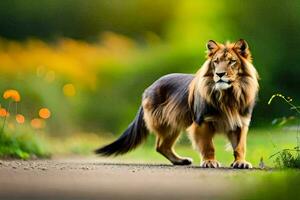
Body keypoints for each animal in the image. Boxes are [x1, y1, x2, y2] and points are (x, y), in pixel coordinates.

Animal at [95, 39, 258, 169]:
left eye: (232, 61)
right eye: (216, 62)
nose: (219, 74)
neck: (228, 95)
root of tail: (149, 88)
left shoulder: (240, 123)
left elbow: (240, 146)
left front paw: (241, 163)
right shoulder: (202, 122)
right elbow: (208, 146)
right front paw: (210, 162)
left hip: (173, 124)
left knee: (161, 146)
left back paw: (180, 161)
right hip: (169, 122)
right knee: (160, 146)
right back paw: (181, 160)